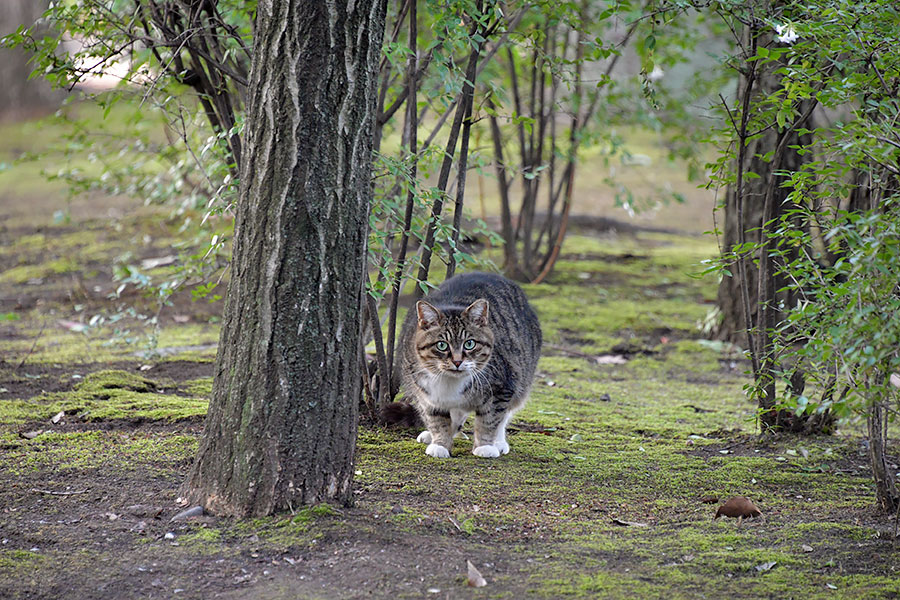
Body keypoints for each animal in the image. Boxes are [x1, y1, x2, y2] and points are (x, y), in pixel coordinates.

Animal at [400, 272, 540, 460]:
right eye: (442, 345)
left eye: (470, 344)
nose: (457, 361)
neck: (449, 382)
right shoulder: (425, 395)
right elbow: (437, 420)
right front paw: (440, 444)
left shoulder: (501, 387)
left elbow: (490, 420)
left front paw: (485, 446)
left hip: (520, 377)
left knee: (504, 415)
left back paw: (499, 442)